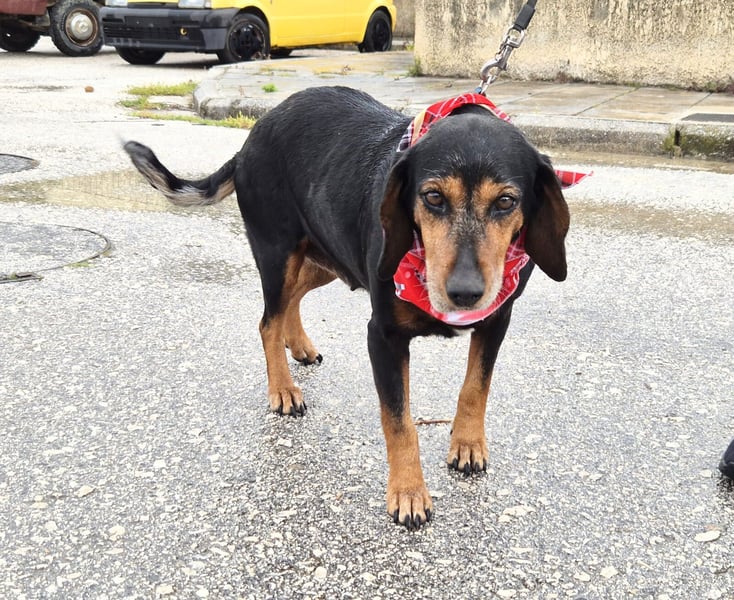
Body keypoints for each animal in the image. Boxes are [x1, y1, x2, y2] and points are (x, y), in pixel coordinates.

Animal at [124, 86, 570, 530]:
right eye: (433, 197)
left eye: (506, 202)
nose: (464, 293)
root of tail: (251, 138)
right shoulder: (383, 336)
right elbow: (399, 421)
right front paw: (408, 493)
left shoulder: (496, 321)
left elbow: (476, 388)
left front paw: (467, 443)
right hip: (278, 254)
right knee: (267, 321)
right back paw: (283, 388)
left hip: (327, 257)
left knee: (291, 302)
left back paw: (299, 345)